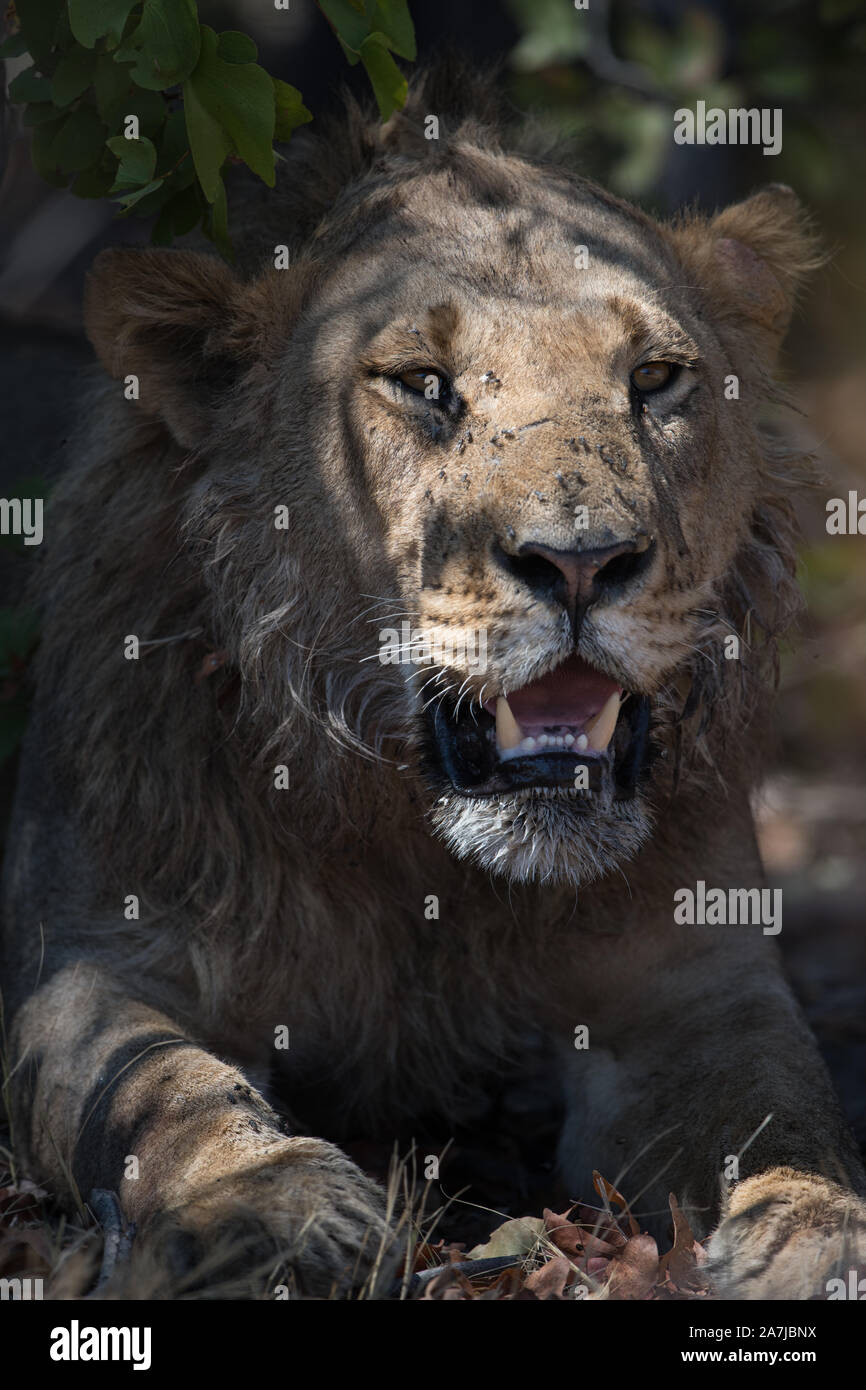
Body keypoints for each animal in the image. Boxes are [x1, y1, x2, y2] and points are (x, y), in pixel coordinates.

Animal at [2, 64, 865, 1300]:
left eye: (655, 380)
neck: (416, 848)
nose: (581, 561)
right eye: (422, 385)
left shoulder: (692, 985)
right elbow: (167, 1090)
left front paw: (814, 1226)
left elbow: (778, 1105)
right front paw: (273, 1205)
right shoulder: (94, 959)